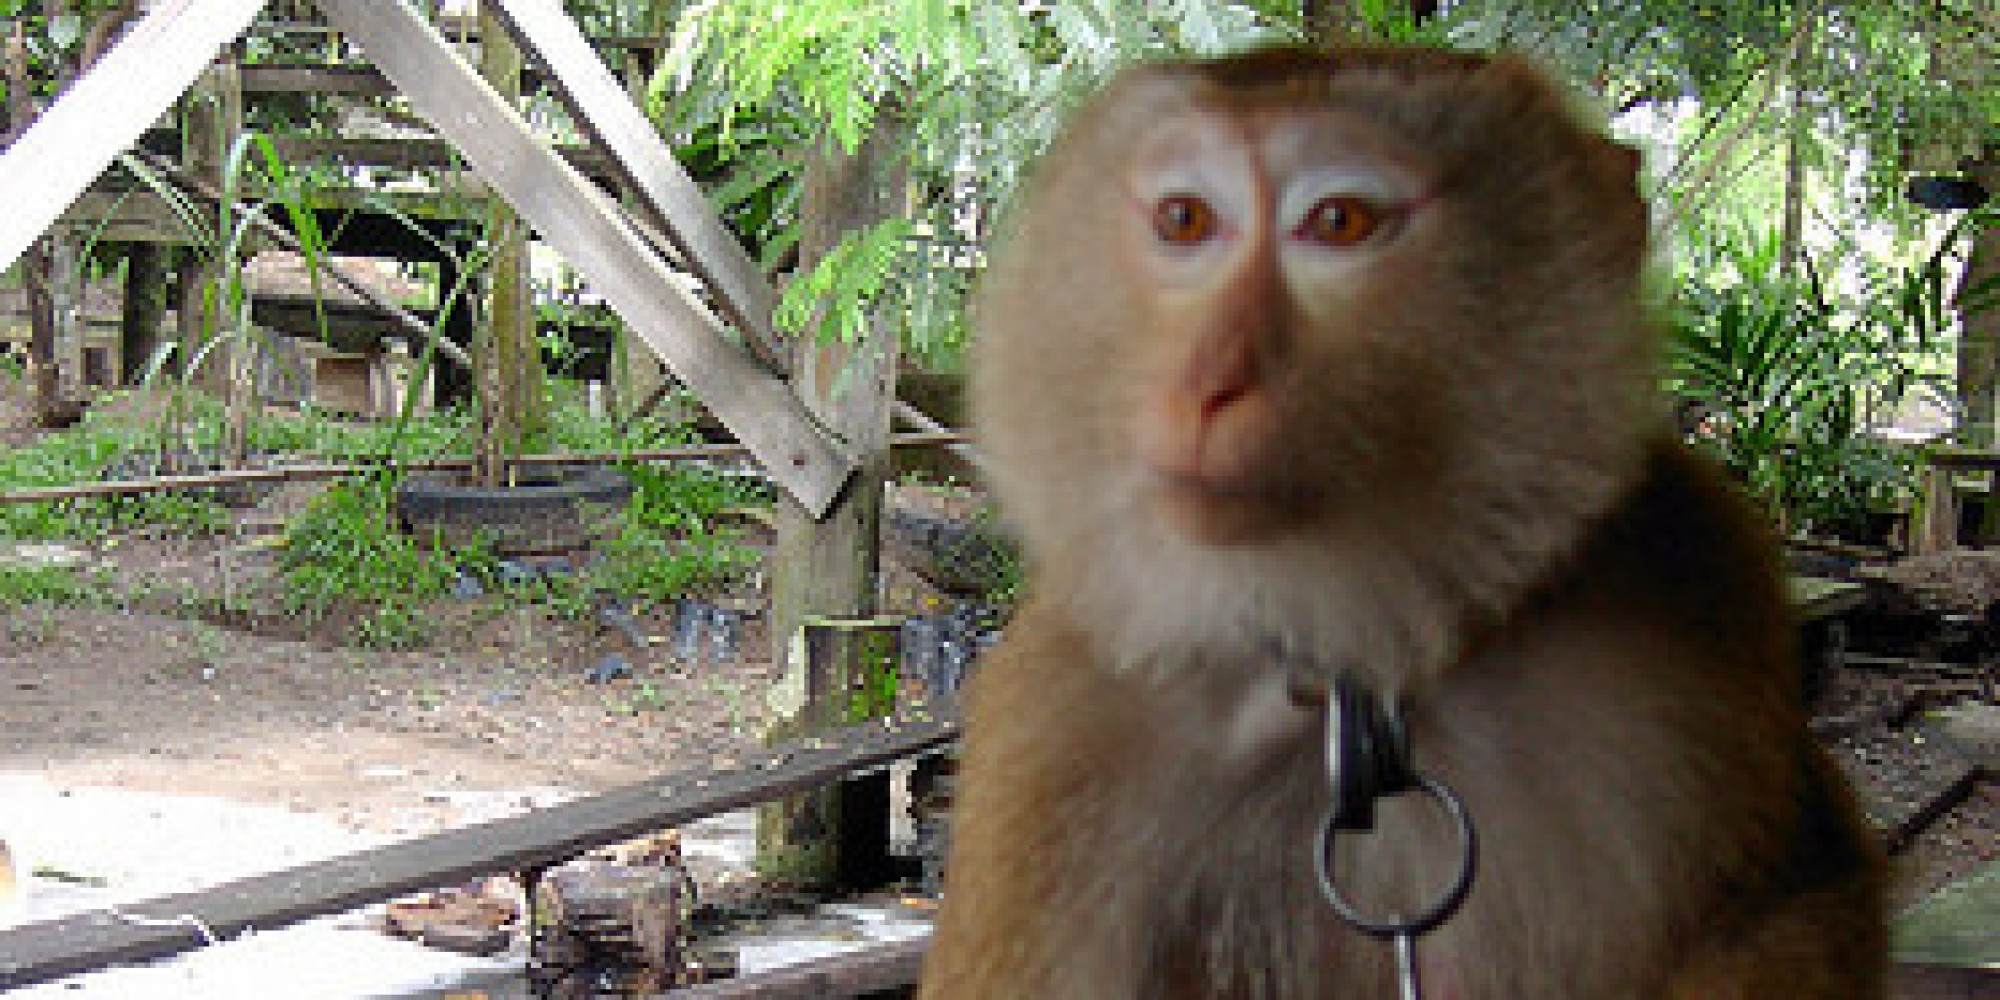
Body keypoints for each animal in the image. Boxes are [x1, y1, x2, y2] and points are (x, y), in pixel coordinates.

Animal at [919, 46, 1886, 1000]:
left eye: (1340, 221)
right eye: (1185, 220)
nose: (1208, 382)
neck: (1361, 665)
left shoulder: (1695, 606)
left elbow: (1800, 901)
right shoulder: (1057, 736)